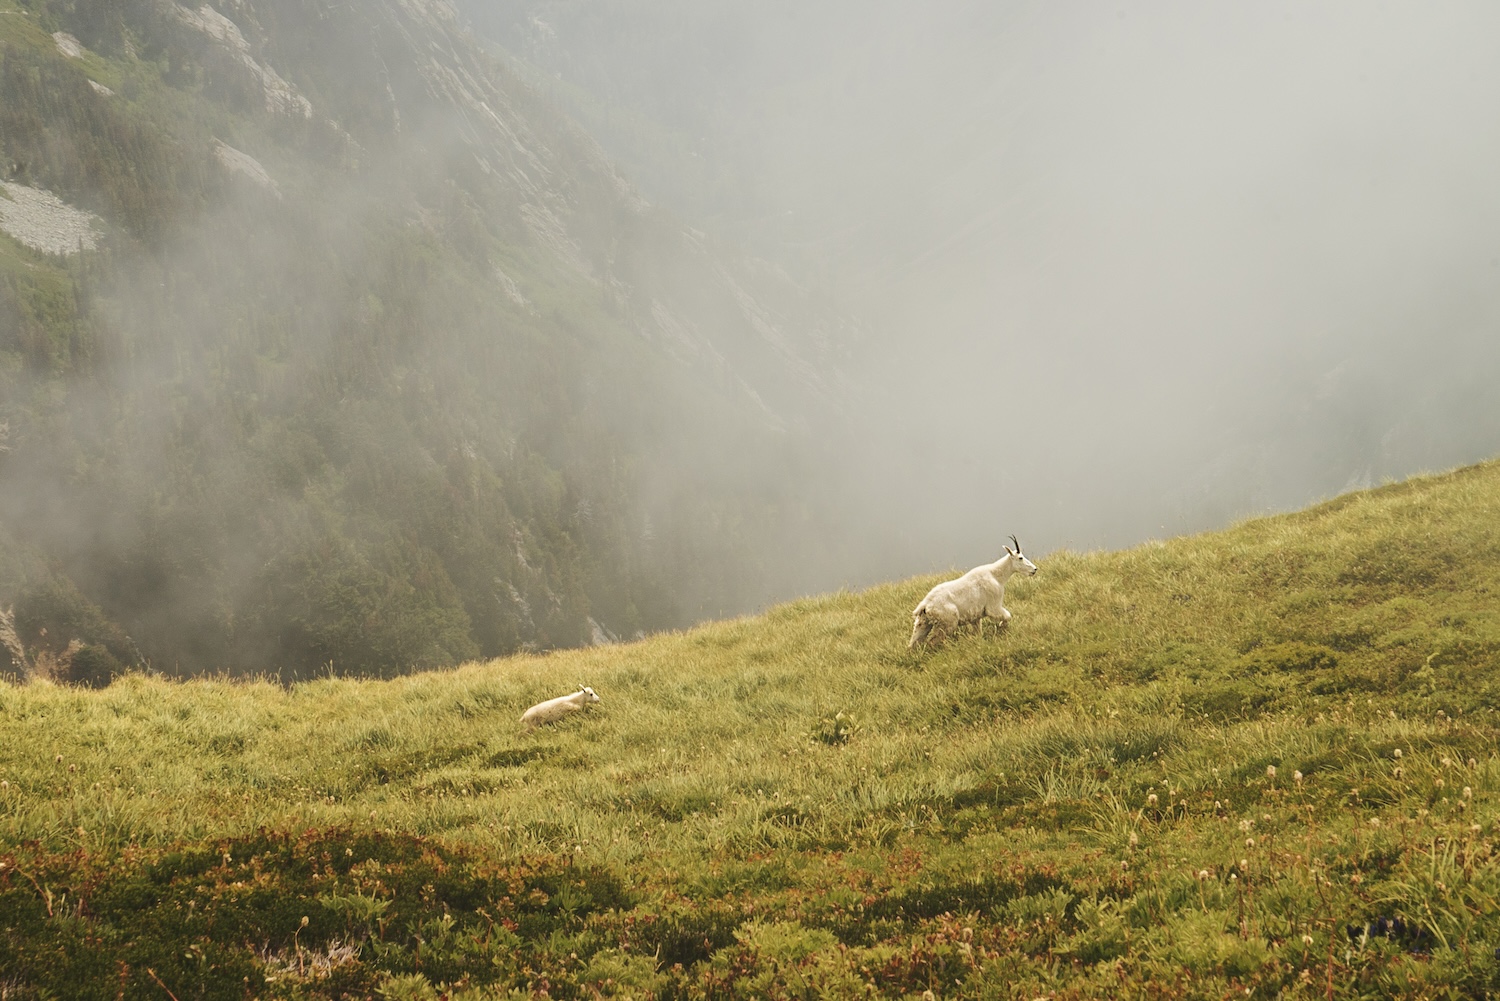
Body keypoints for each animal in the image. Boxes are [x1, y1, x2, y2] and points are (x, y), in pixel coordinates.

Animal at [908, 535, 1038, 649]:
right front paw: (1002, 627)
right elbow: (1007, 616)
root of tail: (925, 605)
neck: (996, 575)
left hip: (923, 623)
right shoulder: (993, 606)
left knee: (914, 643)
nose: (1034, 569)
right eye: (1020, 557)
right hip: (947, 623)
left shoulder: (975, 618)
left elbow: (978, 633)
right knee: (933, 641)